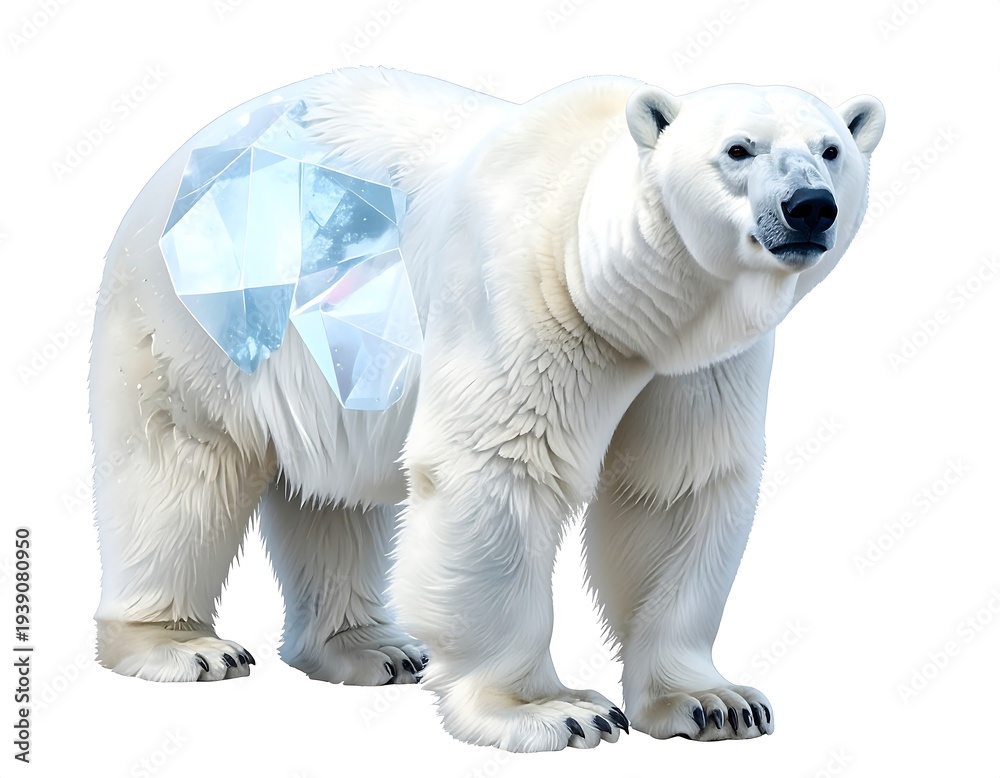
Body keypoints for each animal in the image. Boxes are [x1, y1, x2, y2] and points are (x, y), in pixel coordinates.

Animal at [89, 67, 884, 752]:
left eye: (831, 149)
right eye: (738, 149)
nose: (809, 207)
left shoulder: (696, 367)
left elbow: (674, 488)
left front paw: (715, 701)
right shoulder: (523, 298)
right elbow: (500, 471)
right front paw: (554, 712)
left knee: (335, 493)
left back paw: (371, 648)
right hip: (208, 311)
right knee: (181, 464)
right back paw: (184, 645)